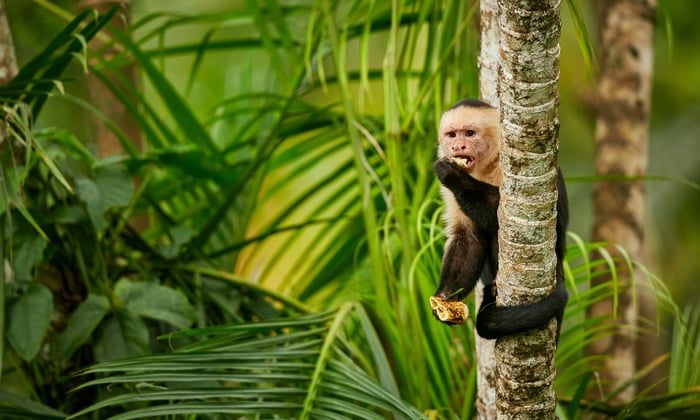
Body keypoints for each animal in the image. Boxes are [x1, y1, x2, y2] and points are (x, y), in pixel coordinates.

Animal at [431, 98, 569, 340]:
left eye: (469, 133)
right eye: (452, 135)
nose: (458, 147)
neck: (485, 165)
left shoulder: (509, 162)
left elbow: (507, 218)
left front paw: (453, 175)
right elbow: (468, 237)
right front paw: (446, 297)